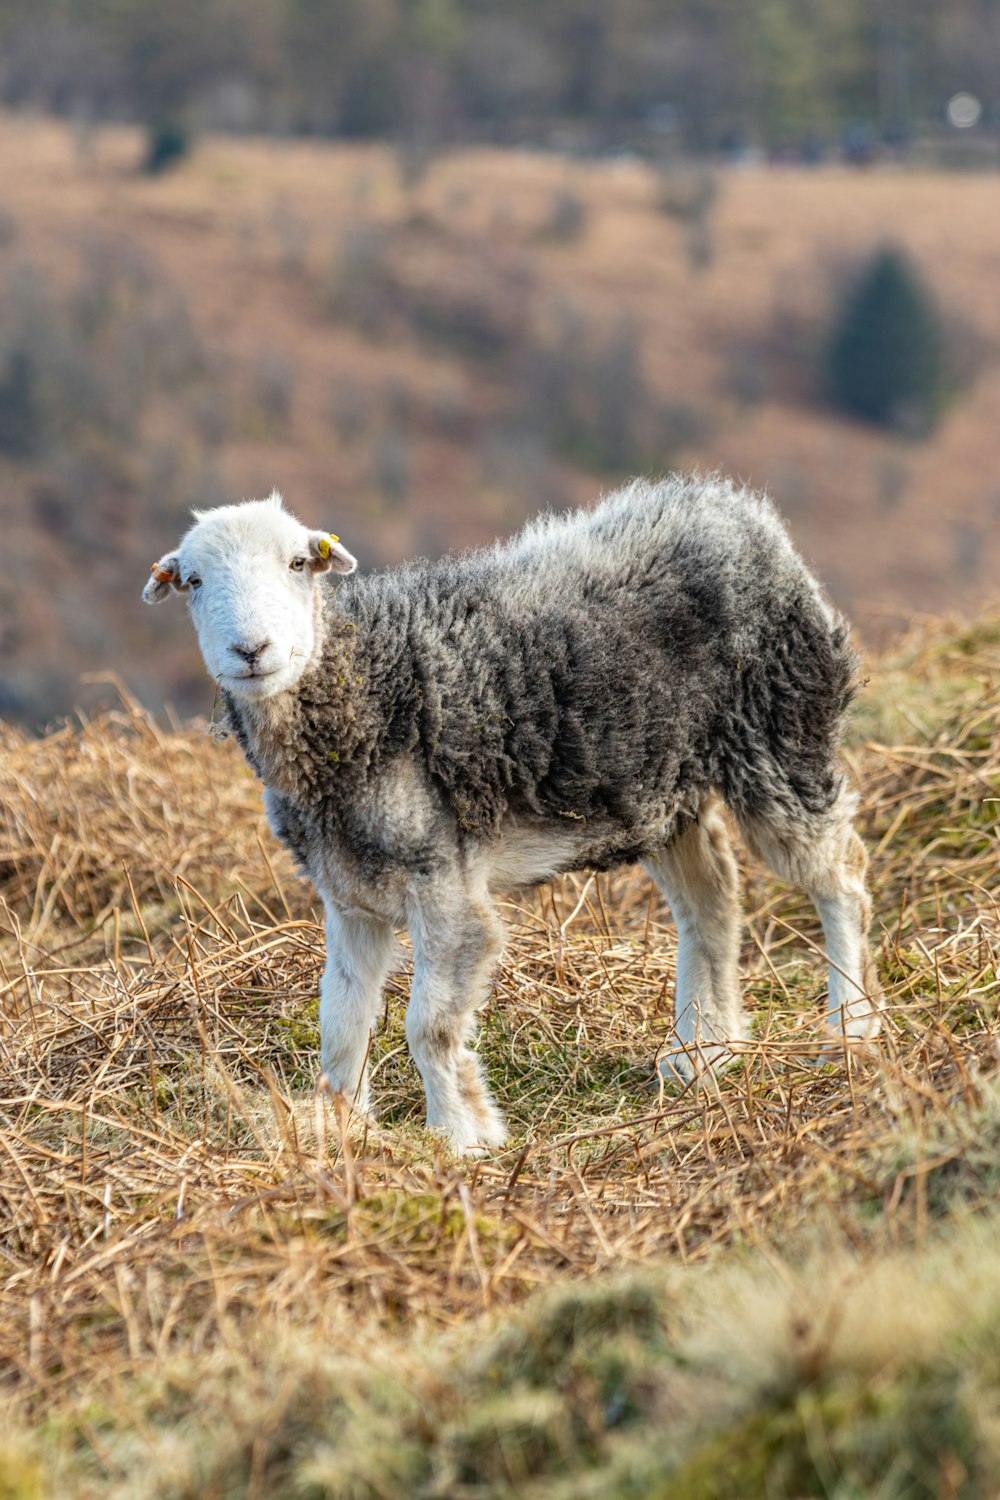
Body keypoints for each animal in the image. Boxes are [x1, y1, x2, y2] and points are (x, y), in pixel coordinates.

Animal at [142, 474, 881, 1152]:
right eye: (195, 582)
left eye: (299, 564)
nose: (251, 651)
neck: (364, 693)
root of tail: (735, 508)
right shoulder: (349, 894)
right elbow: (341, 1022)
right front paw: (339, 1129)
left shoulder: (441, 879)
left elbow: (429, 1025)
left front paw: (464, 1138)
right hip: (664, 787)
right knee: (714, 897)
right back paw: (704, 1051)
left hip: (779, 730)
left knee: (842, 875)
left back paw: (850, 1028)